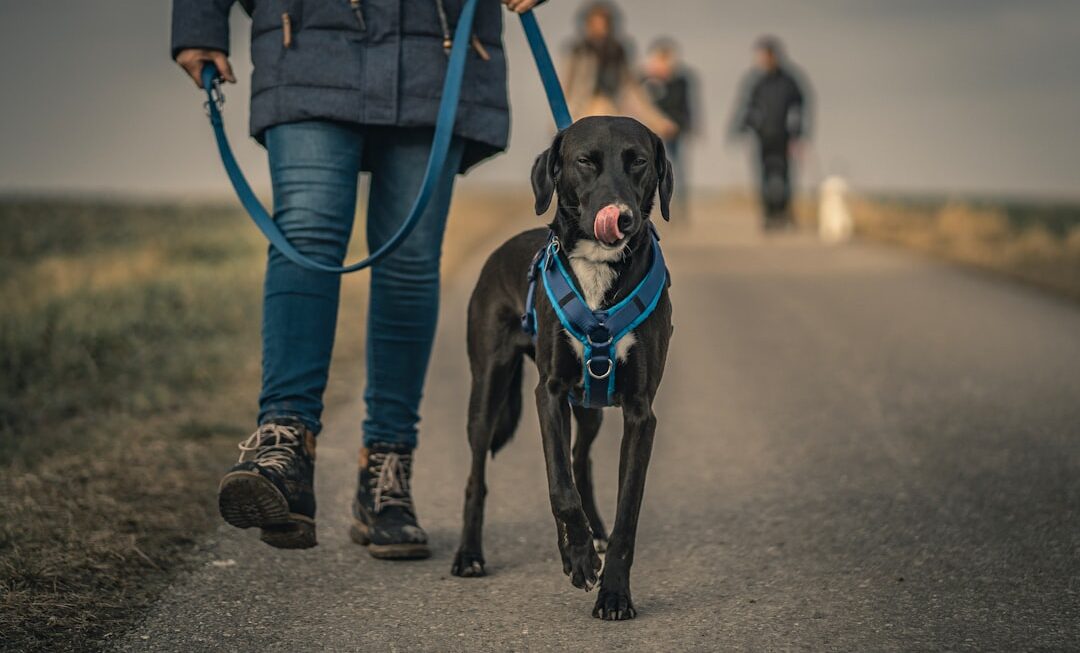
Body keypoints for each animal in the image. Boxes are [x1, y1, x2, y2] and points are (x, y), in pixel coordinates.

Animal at [449, 117, 669, 621]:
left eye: (639, 162)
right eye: (585, 161)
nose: (622, 216)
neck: (599, 269)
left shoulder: (639, 412)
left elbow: (626, 508)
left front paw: (614, 592)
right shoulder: (547, 394)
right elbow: (559, 489)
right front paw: (581, 559)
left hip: (587, 405)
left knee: (578, 458)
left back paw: (588, 538)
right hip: (487, 392)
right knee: (478, 476)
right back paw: (470, 555)